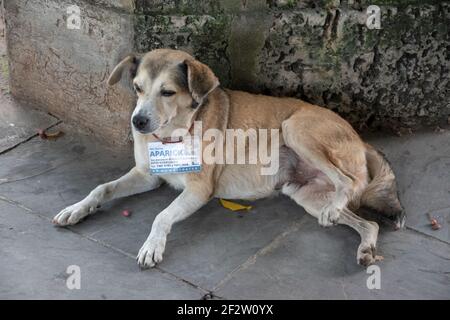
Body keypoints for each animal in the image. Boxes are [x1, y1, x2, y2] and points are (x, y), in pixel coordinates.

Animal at [51, 49, 404, 268]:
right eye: (137, 87)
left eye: (167, 92)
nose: (137, 121)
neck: (176, 132)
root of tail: (360, 139)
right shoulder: (146, 175)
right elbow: (103, 188)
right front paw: (76, 209)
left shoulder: (198, 190)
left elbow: (161, 216)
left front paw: (152, 246)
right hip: (307, 195)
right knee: (369, 223)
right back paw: (365, 247)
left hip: (295, 130)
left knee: (349, 183)